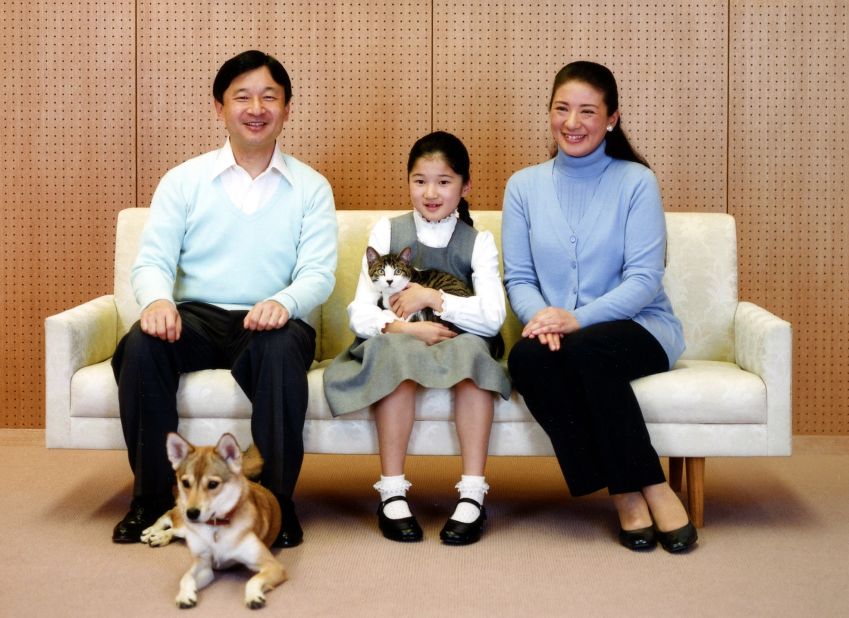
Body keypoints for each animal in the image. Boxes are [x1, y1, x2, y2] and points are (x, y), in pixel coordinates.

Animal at [144, 430, 290, 608]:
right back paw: (154, 531)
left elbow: (253, 580)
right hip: (185, 524)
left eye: (213, 484)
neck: (216, 526)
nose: (192, 513)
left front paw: (254, 596)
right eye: (185, 483)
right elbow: (186, 577)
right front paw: (185, 595)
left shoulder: (273, 566)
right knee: (171, 517)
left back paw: (160, 536)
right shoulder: (203, 563)